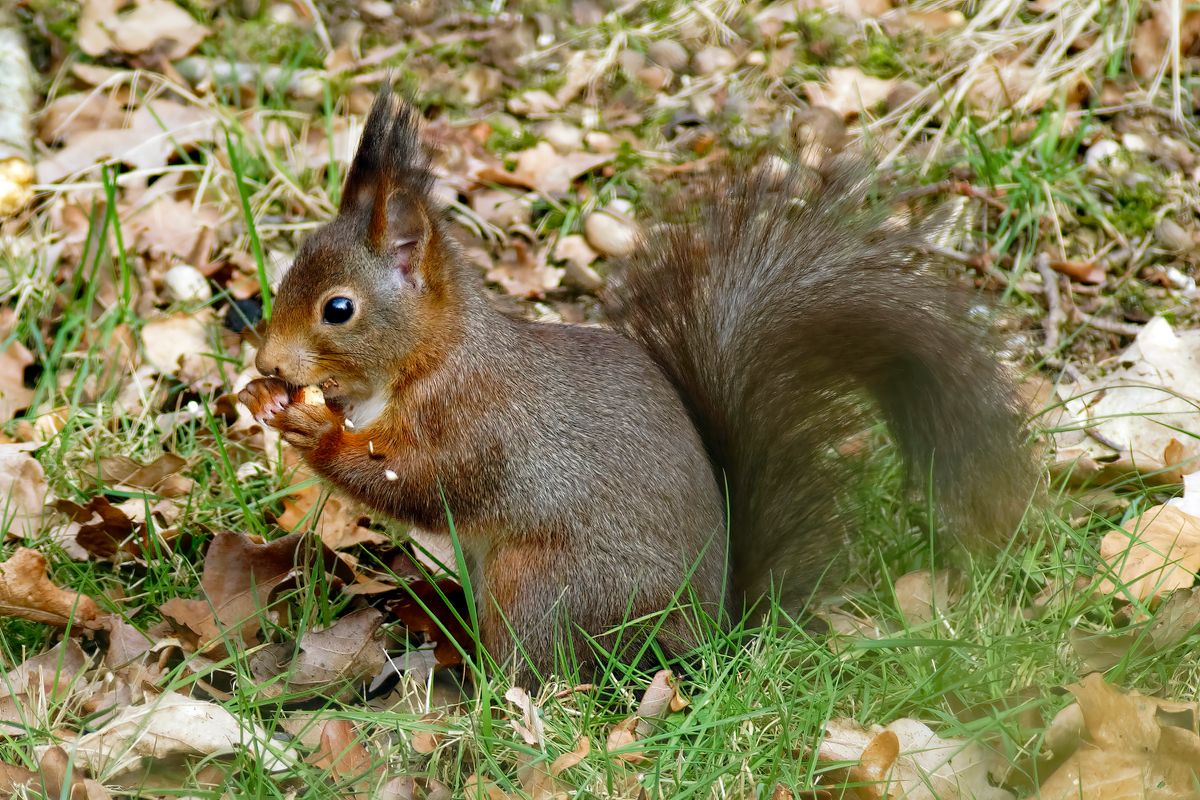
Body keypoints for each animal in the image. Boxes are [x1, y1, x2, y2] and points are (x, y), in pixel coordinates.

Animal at [238, 89, 1036, 690]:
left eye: (339, 309)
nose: (270, 362)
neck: (425, 363)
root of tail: (714, 634)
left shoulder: (477, 425)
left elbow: (419, 482)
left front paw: (315, 433)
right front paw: (270, 403)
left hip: (543, 583)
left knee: (541, 671)